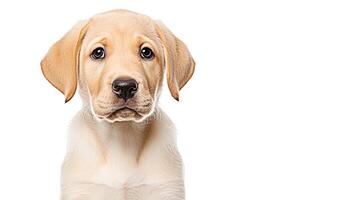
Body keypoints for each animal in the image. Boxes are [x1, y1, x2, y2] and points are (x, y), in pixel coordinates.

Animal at [41, 9, 195, 200]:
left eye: (146, 52)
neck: (122, 137)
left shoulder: (166, 189)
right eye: (98, 52)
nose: (125, 87)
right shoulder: (80, 189)